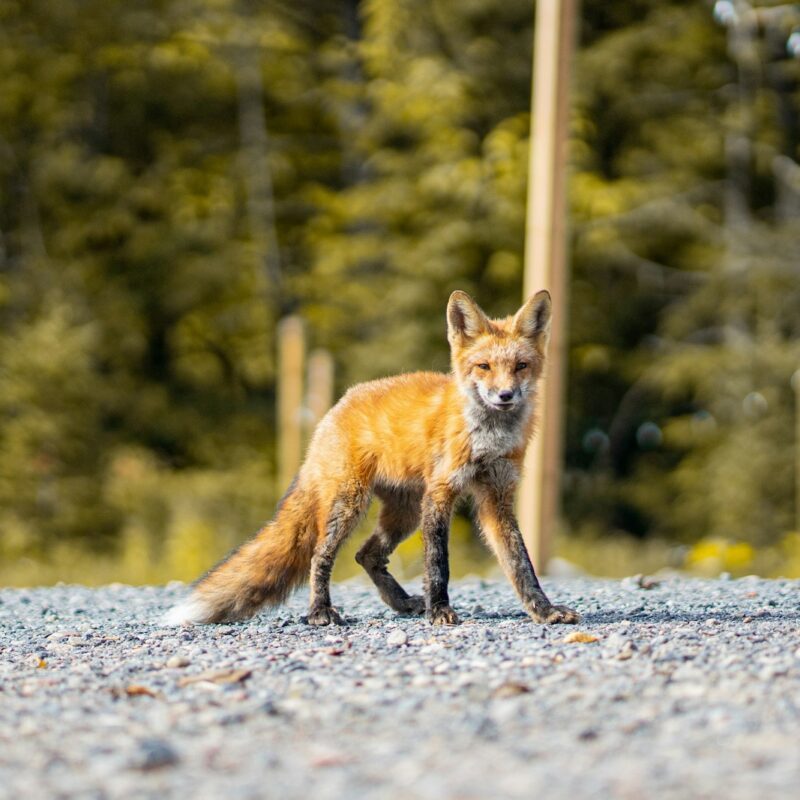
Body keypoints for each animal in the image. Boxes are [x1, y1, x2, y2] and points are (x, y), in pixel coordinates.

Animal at [166, 290, 580, 628]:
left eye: (521, 366)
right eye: (484, 367)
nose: (505, 395)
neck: (488, 437)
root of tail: (335, 408)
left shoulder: (497, 497)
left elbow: (520, 564)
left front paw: (543, 610)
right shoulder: (441, 493)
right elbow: (438, 564)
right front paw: (439, 611)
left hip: (404, 513)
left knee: (367, 555)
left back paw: (401, 603)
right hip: (351, 504)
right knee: (320, 556)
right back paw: (320, 612)